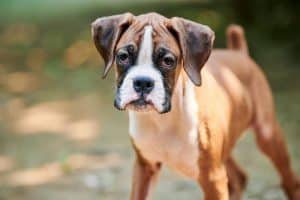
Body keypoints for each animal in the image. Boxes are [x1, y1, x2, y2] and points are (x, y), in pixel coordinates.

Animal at [91, 12, 300, 200]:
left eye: (168, 61)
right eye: (123, 56)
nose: (143, 82)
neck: (163, 119)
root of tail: (239, 53)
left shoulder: (212, 178)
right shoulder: (144, 169)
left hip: (267, 135)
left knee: (289, 181)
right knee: (239, 178)